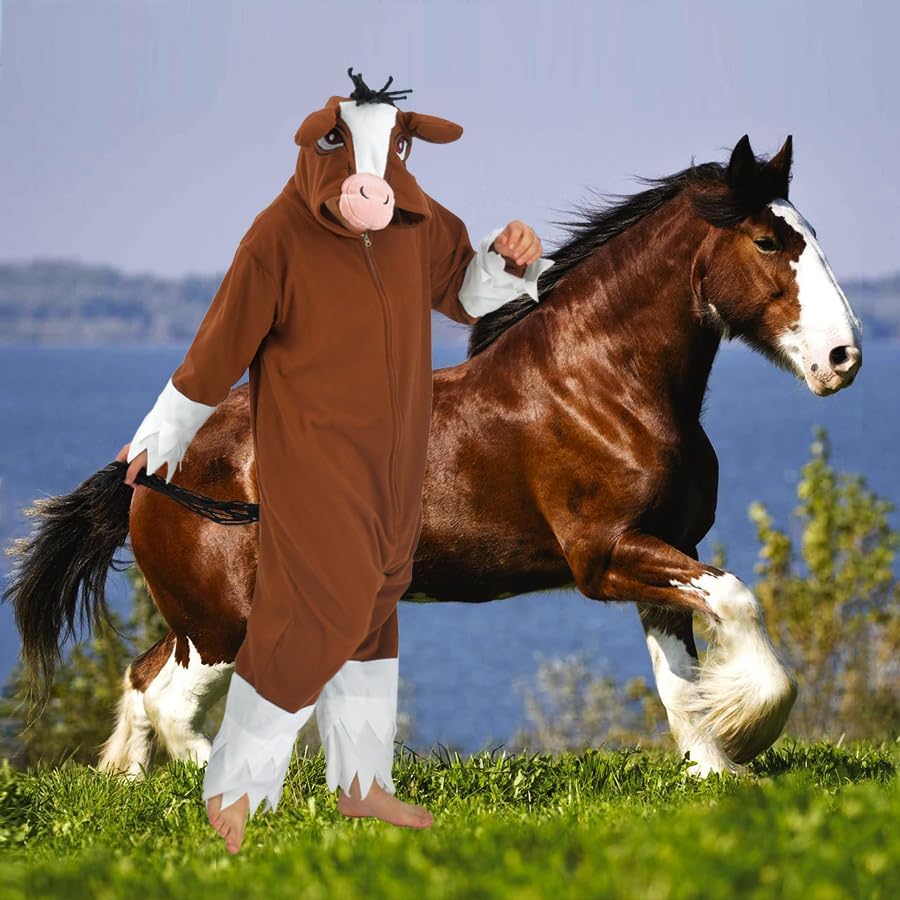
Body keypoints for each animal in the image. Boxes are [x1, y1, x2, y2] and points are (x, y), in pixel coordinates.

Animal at [4, 134, 862, 776]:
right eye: (767, 239)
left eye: (814, 234)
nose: (844, 357)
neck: (604, 385)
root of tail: (150, 464)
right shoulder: (606, 555)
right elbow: (740, 602)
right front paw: (752, 731)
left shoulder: (663, 551)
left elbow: (683, 683)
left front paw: (715, 770)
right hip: (227, 618)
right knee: (173, 703)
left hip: (205, 615)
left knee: (145, 678)